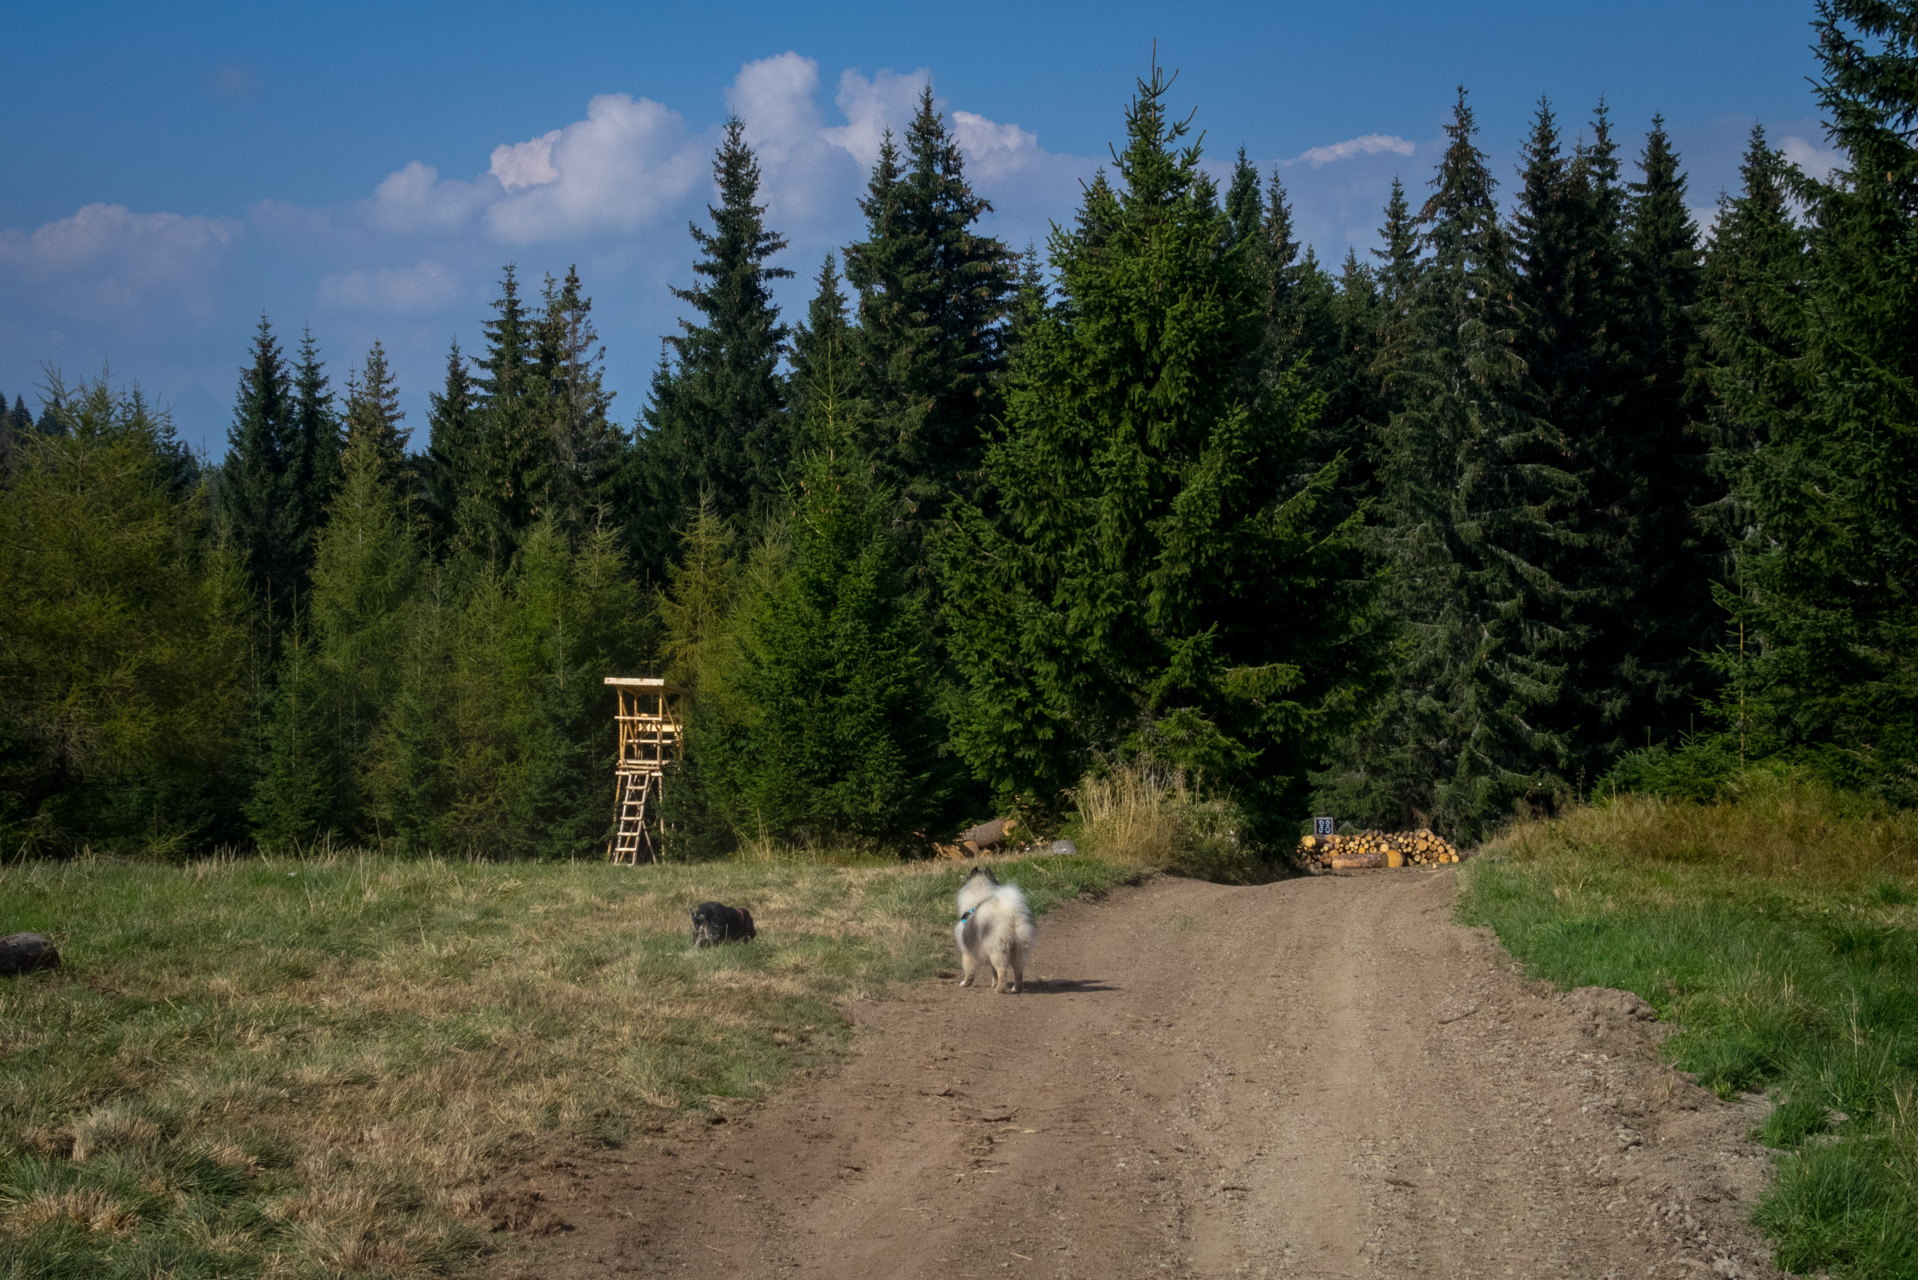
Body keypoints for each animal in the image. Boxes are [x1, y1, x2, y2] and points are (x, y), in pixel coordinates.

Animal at [955, 867, 1035, 997]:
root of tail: (1009, 913)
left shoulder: (967, 952)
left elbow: (969, 971)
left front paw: (965, 983)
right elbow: (993, 972)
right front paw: (993, 983)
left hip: (998, 951)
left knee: (1002, 971)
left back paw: (999, 990)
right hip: (1019, 950)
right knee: (1018, 971)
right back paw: (1016, 988)